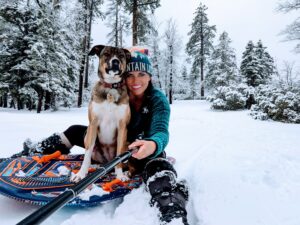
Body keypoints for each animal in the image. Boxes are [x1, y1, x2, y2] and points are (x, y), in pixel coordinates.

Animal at [71, 45, 132, 183]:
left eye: (121, 55)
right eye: (107, 54)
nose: (115, 62)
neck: (111, 87)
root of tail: (107, 161)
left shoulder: (122, 126)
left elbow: (119, 155)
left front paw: (120, 175)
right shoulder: (93, 123)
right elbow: (87, 154)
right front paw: (81, 174)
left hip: (128, 142)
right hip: (87, 134)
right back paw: (94, 166)